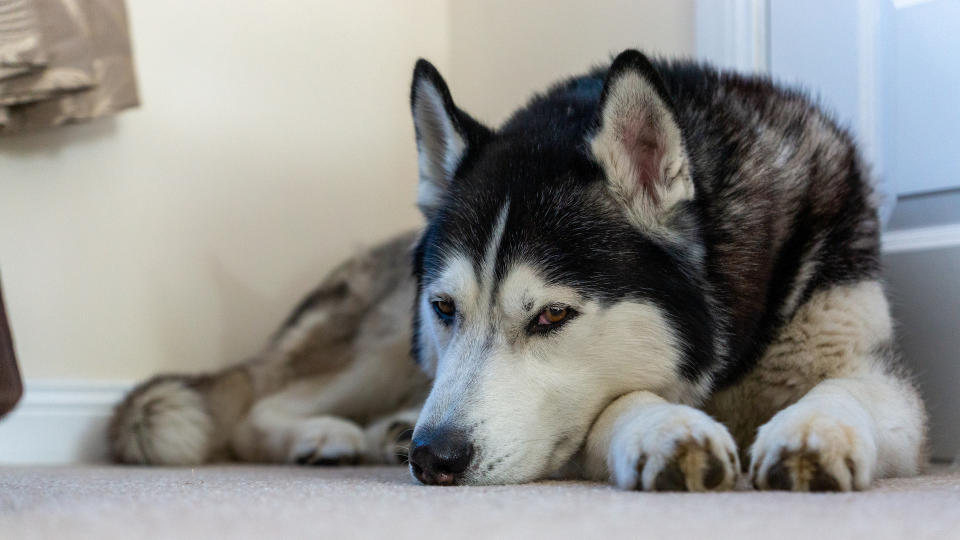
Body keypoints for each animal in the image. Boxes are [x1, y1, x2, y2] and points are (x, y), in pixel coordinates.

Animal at [109, 50, 928, 494]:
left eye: (552, 315)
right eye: (446, 308)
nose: (433, 458)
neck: (726, 355)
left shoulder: (875, 369)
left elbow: (845, 391)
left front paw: (813, 429)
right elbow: (619, 405)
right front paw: (665, 428)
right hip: (387, 343)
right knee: (255, 409)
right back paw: (328, 435)